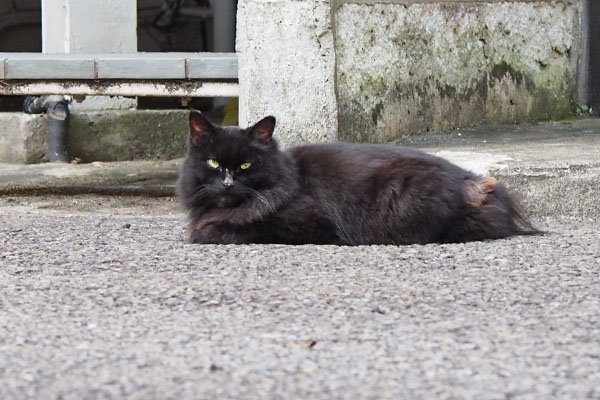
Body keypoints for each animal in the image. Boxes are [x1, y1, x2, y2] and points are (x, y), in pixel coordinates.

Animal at [176, 111, 536, 245]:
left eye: (246, 166)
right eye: (213, 162)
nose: (227, 183)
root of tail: (472, 181)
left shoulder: (310, 222)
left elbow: (244, 227)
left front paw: (208, 233)